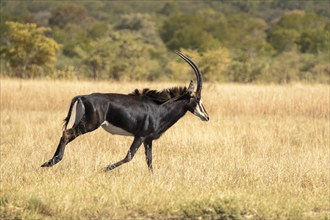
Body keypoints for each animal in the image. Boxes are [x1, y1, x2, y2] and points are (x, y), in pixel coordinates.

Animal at [41, 51, 209, 172]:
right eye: (197, 98)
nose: (206, 117)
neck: (159, 108)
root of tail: (83, 96)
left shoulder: (148, 140)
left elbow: (149, 161)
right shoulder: (140, 136)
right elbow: (129, 156)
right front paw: (104, 168)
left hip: (81, 124)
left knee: (66, 135)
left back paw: (49, 162)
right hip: (88, 125)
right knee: (66, 134)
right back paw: (50, 163)